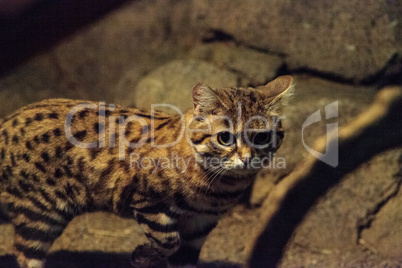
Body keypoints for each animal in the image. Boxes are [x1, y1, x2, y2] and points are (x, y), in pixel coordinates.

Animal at [0, 74, 294, 266]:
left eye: (261, 137)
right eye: (225, 138)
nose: (247, 159)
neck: (221, 188)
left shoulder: (200, 226)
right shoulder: (146, 200)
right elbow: (168, 241)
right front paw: (142, 255)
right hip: (39, 216)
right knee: (25, 255)